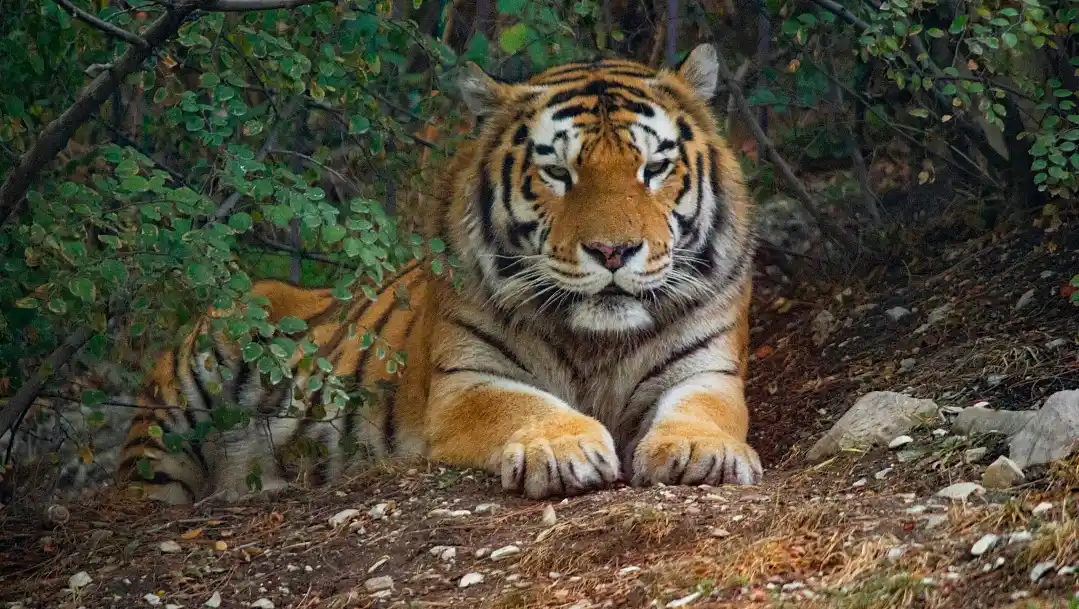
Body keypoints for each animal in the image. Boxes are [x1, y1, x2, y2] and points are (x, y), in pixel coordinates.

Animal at [113, 42, 763, 504]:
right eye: (558, 172)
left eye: (654, 168)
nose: (612, 251)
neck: (596, 344)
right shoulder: (466, 382)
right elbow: (522, 407)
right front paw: (563, 448)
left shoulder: (709, 370)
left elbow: (703, 410)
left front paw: (698, 450)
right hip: (188, 391)